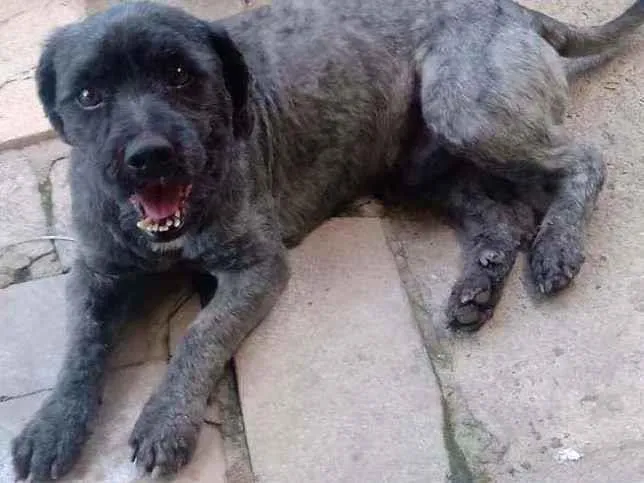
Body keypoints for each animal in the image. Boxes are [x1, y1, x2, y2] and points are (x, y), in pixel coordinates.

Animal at [11, 0, 643, 479]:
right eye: (89, 94)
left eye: (180, 75)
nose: (149, 158)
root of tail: (512, 9)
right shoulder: (97, 272)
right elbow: (80, 345)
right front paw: (53, 423)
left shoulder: (256, 268)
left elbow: (200, 337)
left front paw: (167, 419)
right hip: (421, 166)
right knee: (503, 216)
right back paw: (479, 285)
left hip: (469, 115)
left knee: (584, 161)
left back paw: (557, 247)